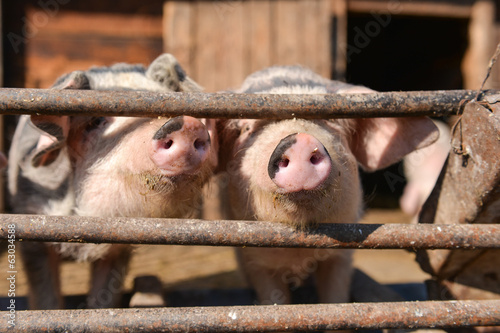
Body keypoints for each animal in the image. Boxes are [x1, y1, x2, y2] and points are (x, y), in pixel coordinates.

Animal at [6, 52, 216, 308]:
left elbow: (103, 299)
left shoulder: (117, 246)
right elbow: (46, 296)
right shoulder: (32, 230)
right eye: (95, 121)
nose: (186, 124)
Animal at [219, 66, 438, 308]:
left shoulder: (341, 252)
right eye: (247, 128)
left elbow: (334, 297)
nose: (300, 138)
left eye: (334, 122)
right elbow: (274, 298)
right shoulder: (256, 261)